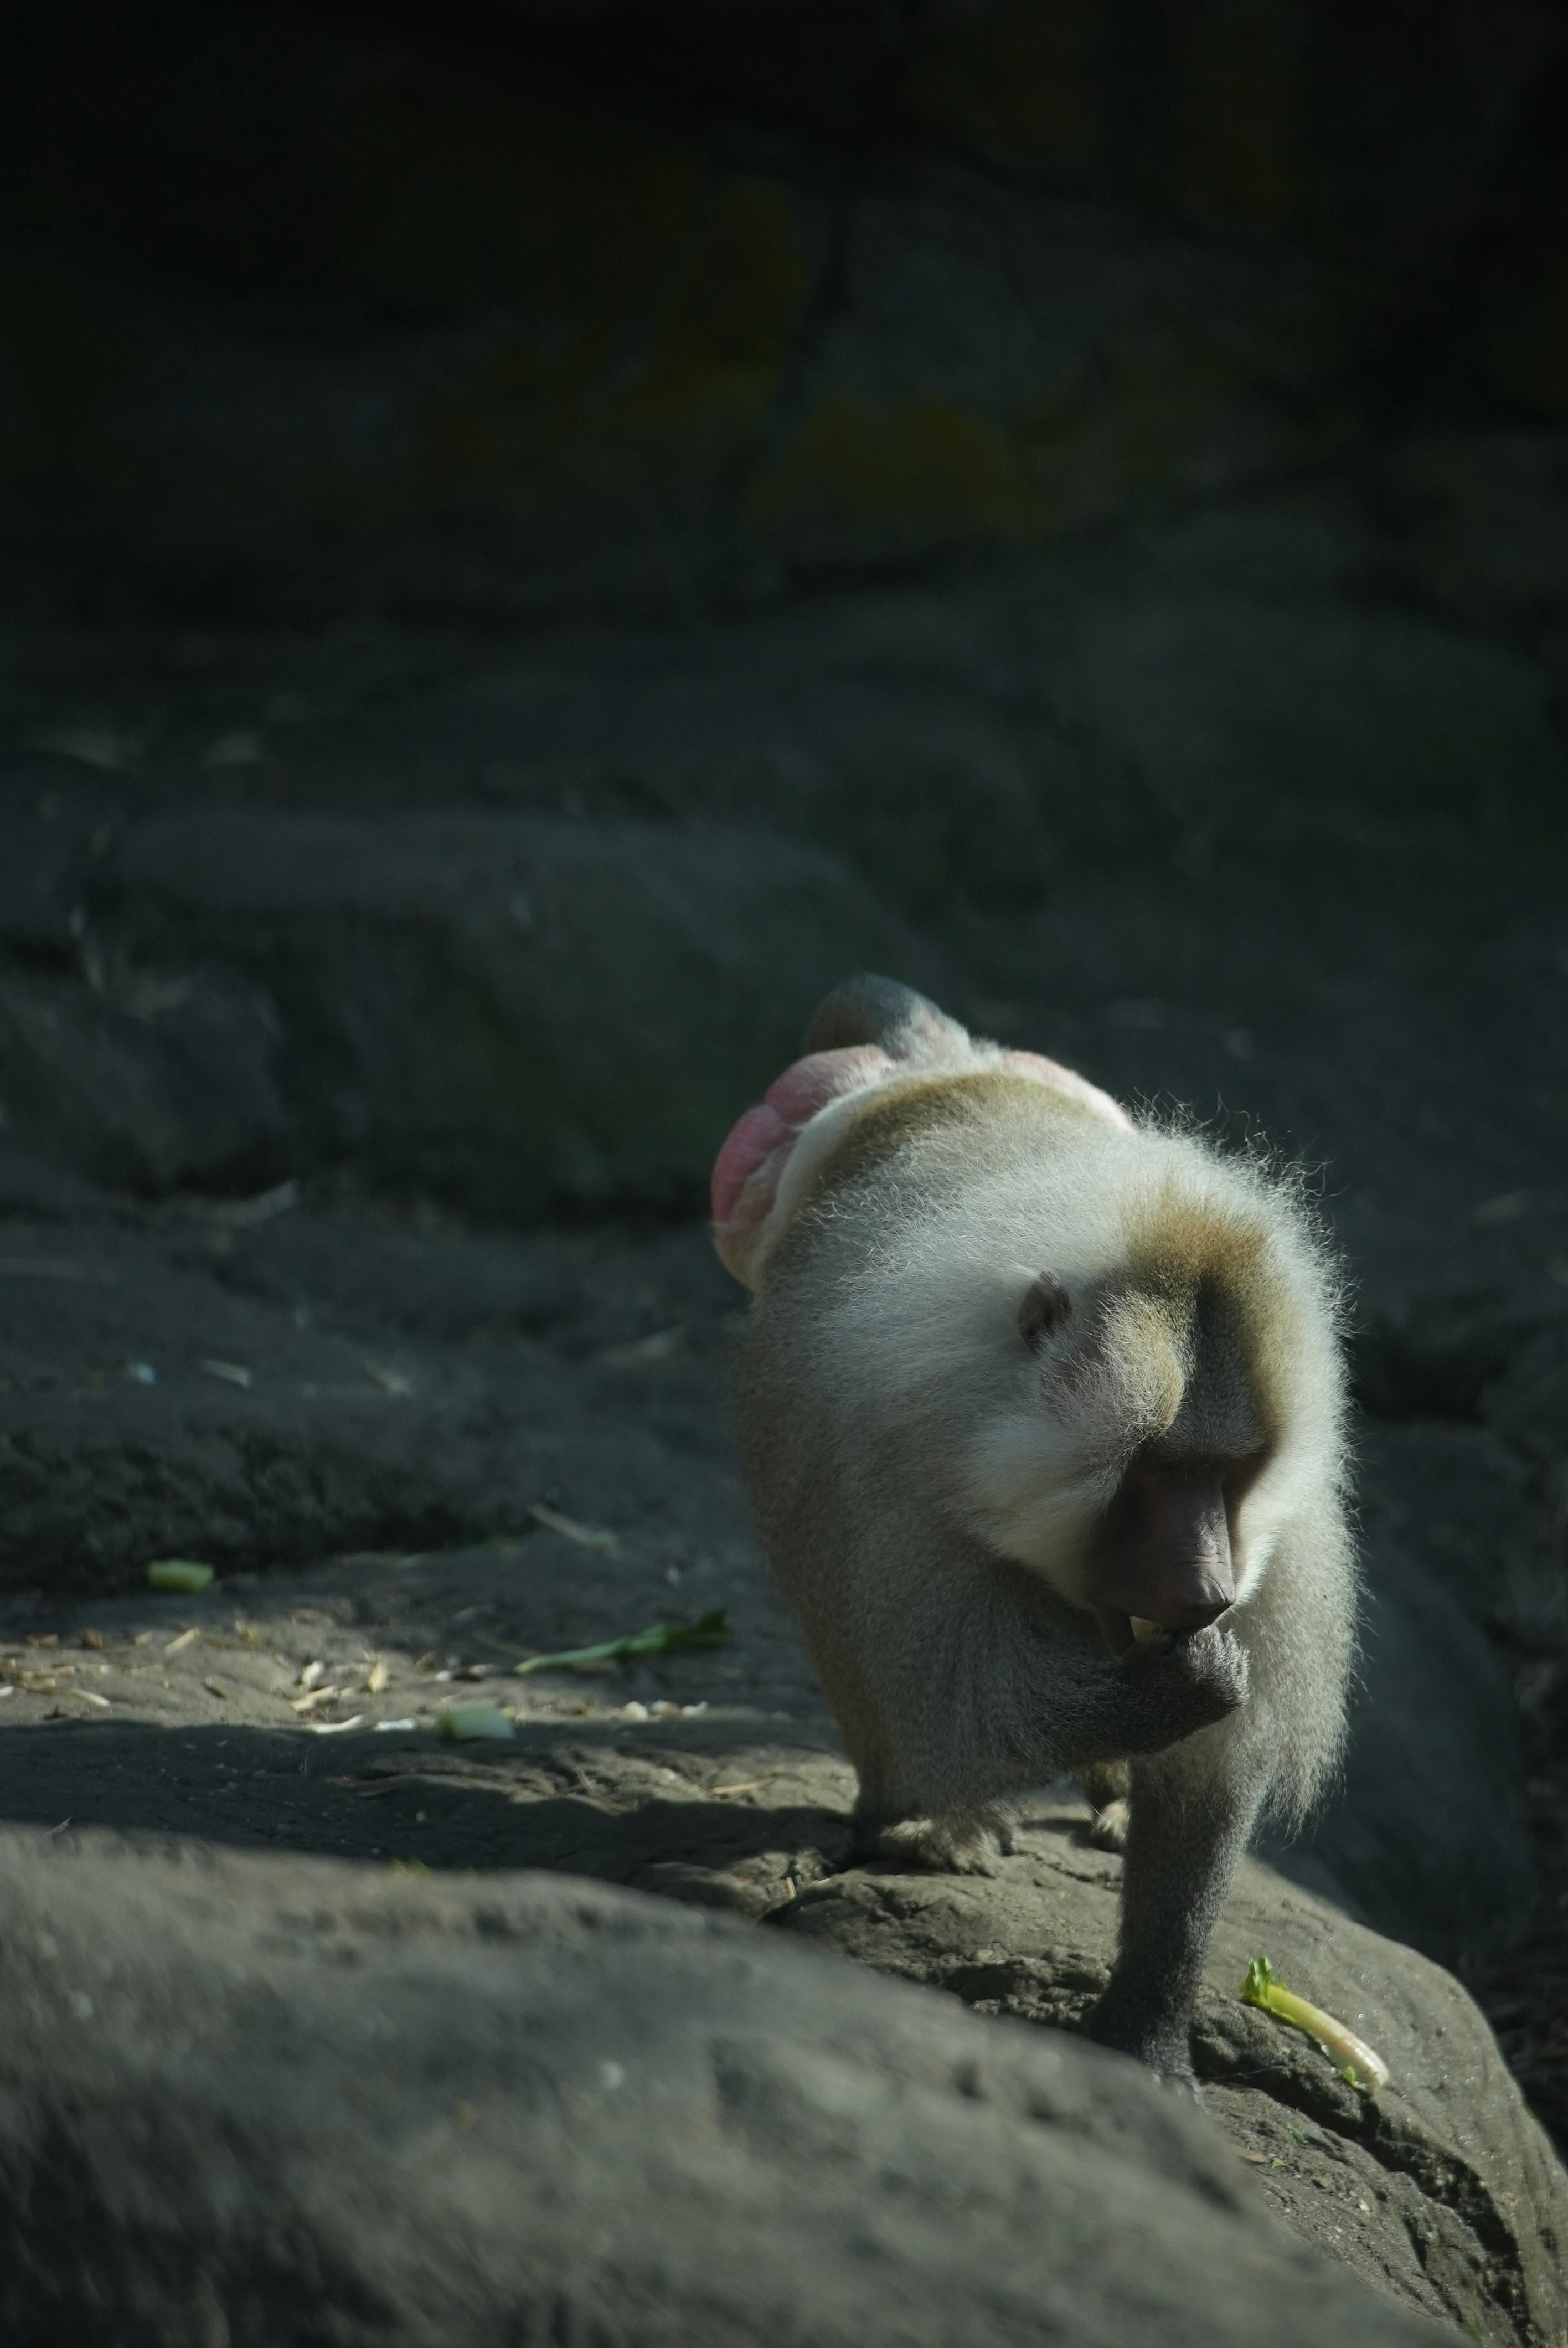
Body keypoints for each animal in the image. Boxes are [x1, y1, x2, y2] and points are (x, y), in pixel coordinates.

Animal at [712, 974, 1355, 2087]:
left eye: (1226, 1472)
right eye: (1152, 1471)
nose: (1206, 1594)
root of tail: (931, 1067)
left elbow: (1210, 1779)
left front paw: (1146, 2031)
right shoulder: (881, 1468)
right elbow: (952, 1704)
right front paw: (1188, 1686)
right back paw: (918, 1816)